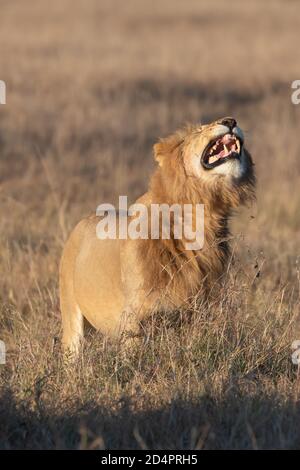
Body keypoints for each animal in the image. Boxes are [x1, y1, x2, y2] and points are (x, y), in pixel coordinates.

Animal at [60, 116, 255, 352]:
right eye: (199, 130)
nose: (230, 120)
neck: (202, 214)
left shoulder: (200, 312)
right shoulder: (134, 318)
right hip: (71, 318)